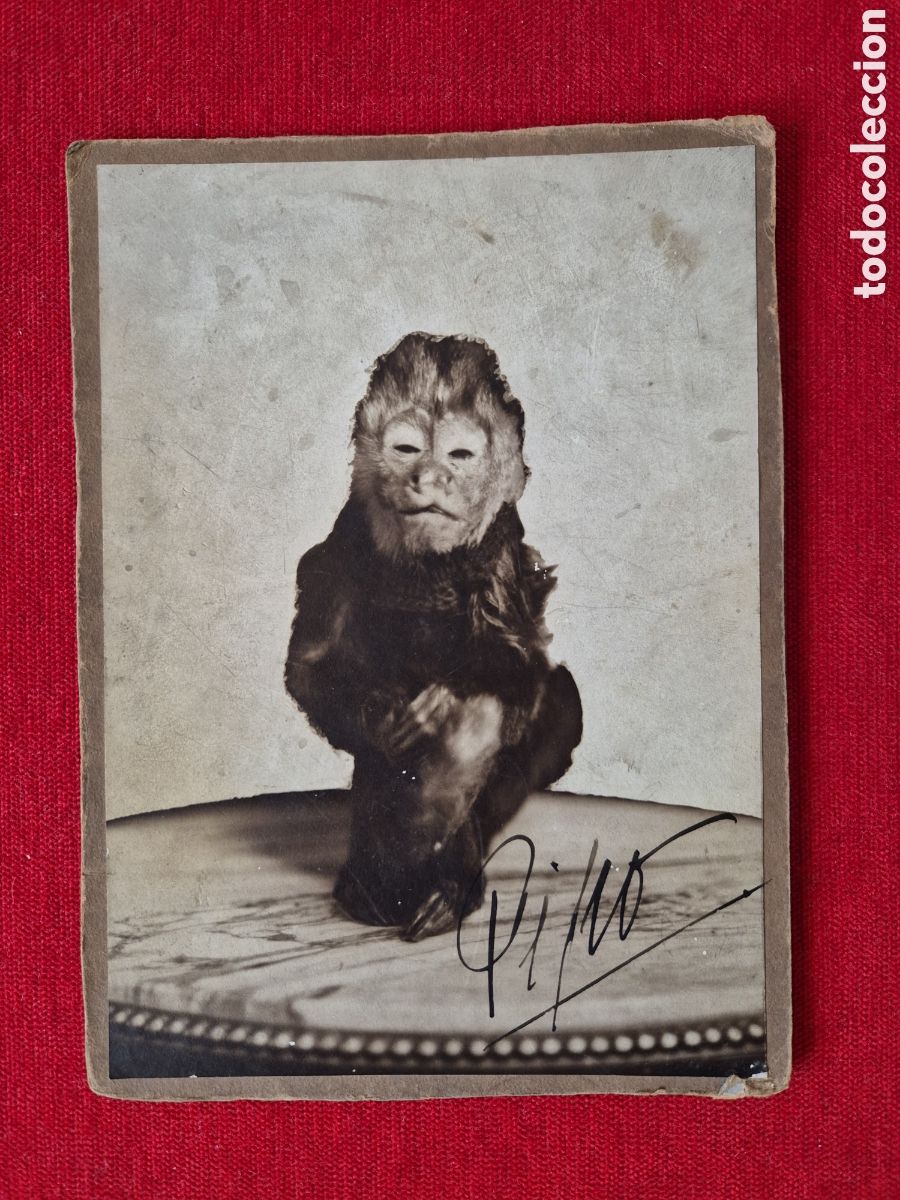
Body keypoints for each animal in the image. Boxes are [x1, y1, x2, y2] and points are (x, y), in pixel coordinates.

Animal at [285, 332, 583, 941]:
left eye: (459, 456)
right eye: (406, 449)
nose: (429, 479)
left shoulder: (501, 543)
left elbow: (522, 670)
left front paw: (449, 703)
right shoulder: (350, 532)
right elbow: (311, 666)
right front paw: (382, 714)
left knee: (549, 701)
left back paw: (449, 876)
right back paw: (376, 882)